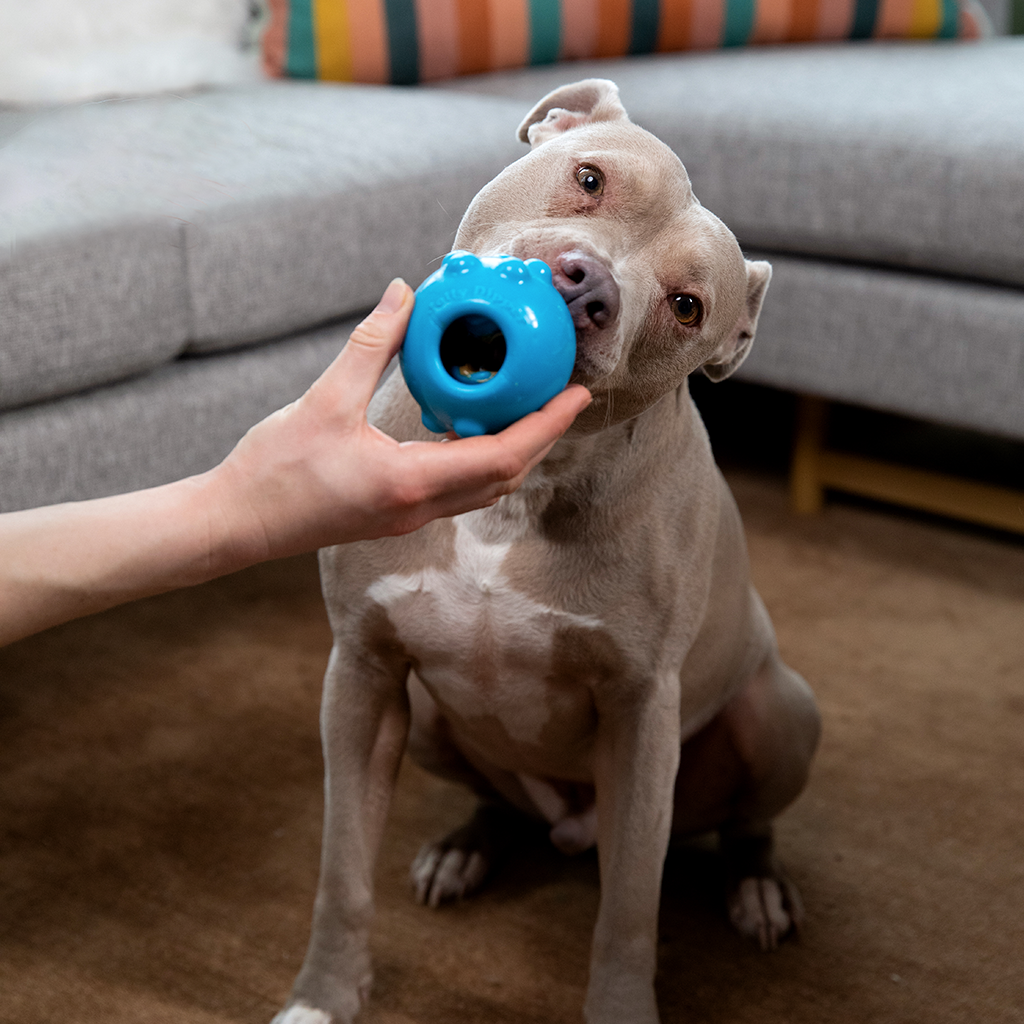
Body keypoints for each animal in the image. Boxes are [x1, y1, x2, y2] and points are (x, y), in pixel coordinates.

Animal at [270, 79, 815, 1024]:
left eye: (686, 307)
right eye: (589, 177)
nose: (586, 284)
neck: (517, 489)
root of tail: (567, 827)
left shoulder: (642, 718)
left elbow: (628, 913)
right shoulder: (363, 672)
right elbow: (342, 869)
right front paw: (323, 997)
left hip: (782, 713)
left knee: (746, 824)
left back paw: (755, 888)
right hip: (430, 723)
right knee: (499, 801)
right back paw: (465, 846)